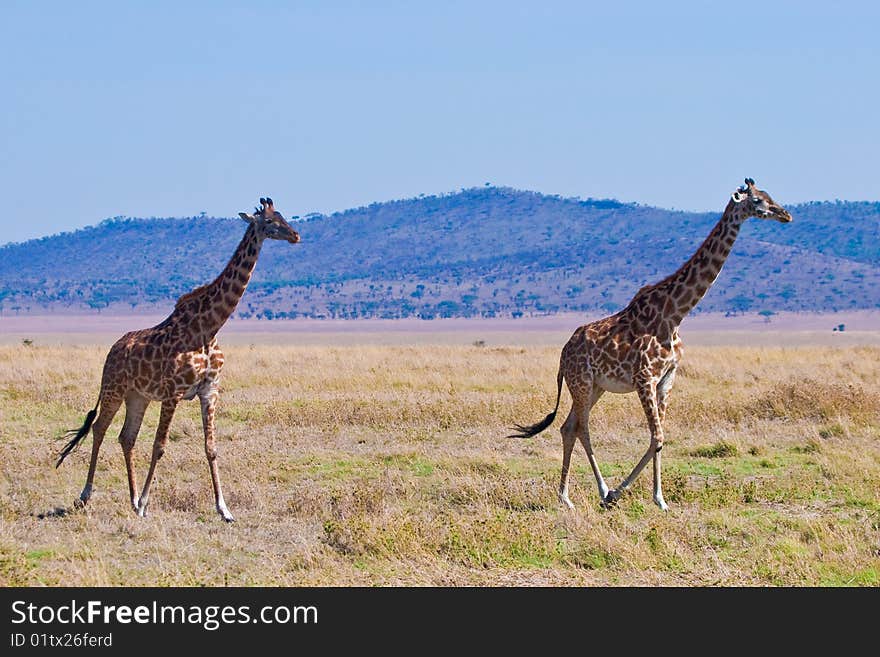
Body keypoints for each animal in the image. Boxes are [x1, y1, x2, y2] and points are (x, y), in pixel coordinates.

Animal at [57, 197, 302, 520]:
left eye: (284, 216)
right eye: (270, 222)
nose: (295, 235)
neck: (208, 328)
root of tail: (113, 349)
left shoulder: (209, 391)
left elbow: (211, 448)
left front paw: (224, 509)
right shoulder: (173, 392)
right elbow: (159, 446)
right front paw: (146, 504)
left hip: (138, 396)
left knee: (126, 437)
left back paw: (131, 499)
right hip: (113, 389)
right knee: (99, 429)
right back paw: (87, 496)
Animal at [508, 179, 792, 512]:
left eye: (770, 195)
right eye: (758, 201)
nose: (785, 214)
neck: (675, 314)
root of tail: (563, 353)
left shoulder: (666, 379)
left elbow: (659, 437)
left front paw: (660, 499)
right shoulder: (645, 378)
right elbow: (656, 437)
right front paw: (620, 494)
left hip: (596, 387)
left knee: (569, 427)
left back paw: (566, 496)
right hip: (582, 382)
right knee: (582, 428)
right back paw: (592, 493)